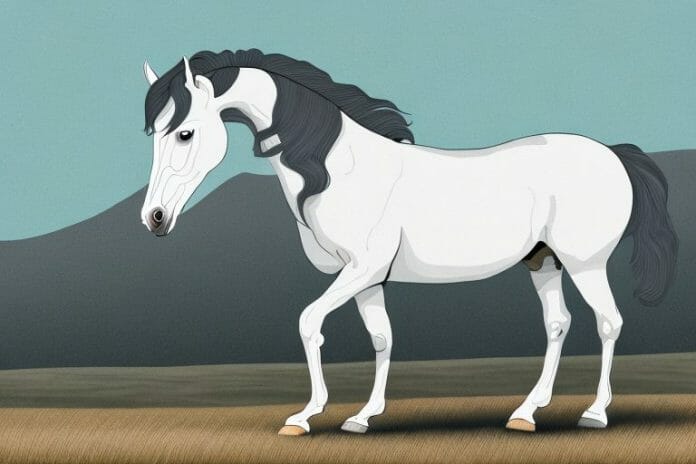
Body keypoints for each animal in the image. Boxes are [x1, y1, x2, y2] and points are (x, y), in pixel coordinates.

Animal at [140, 49, 678, 436]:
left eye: (185, 133)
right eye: (155, 134)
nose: (155, 218)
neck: (336, 167)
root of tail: (613, 154)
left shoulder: (360, 269)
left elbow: (310, 322)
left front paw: (304, 416)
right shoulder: (369, 280)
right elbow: (382, 338)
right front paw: (362, 417)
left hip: (586, 263)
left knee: (608, 323)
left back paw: (595, 413)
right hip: (543, 262)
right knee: (557, 325)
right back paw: (526, 412)